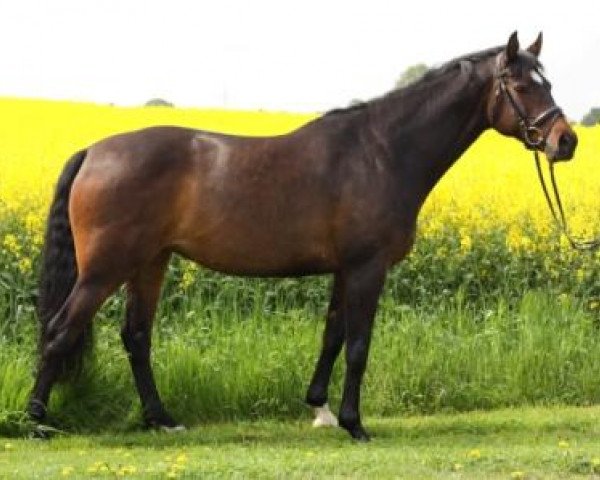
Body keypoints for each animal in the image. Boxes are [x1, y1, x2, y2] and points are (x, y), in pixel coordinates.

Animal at [28, 31, 576, 440]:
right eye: (522, 85)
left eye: (548, 82)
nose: (565, 141)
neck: (381, 151)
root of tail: (94, 152)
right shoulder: (367, 268)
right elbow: (358, 344)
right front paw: (356, 424)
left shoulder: (345, 270)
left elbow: (333, 337)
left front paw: (321, 410)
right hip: (105, 269)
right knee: (60, 330)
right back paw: (36, 421)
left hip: (150, 262)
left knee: (136, 336)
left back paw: (161, 420)